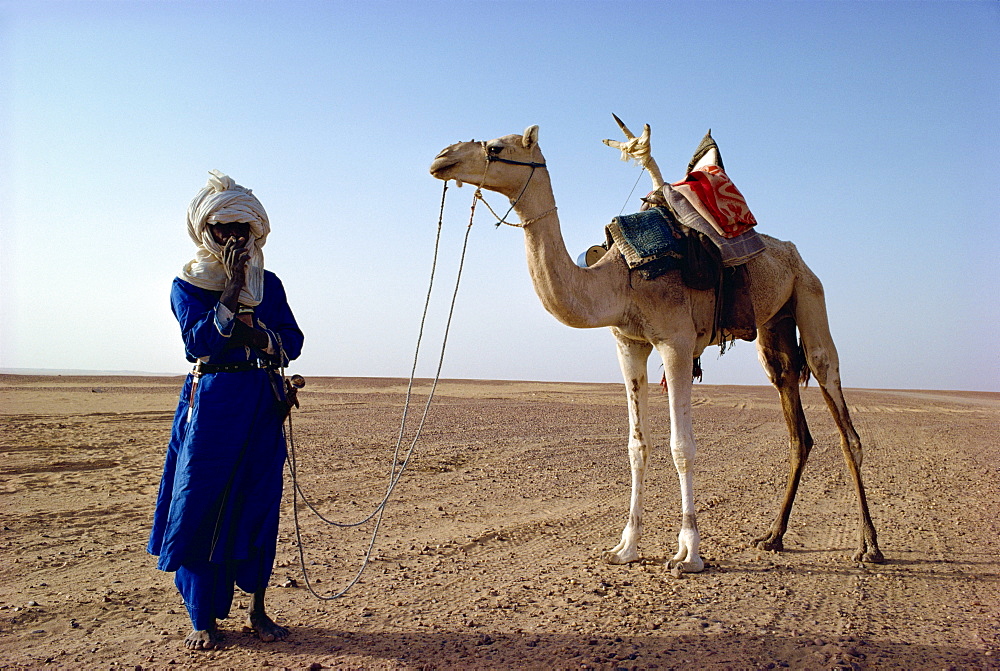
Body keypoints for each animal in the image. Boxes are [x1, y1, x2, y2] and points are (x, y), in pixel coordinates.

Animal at [430, 122, 884, 572]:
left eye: (495, 147)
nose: (440, 158)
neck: (620, 280)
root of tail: (791, 251)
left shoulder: (676, 344)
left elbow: (681, 447)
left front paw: (688, 553)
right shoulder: (629, 344)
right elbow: (637, 446)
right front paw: (625, 547)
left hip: (809, 291)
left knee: (837, 402)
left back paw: (869, 546)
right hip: (774, 322)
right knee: (792, 411)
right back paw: (773, 537)